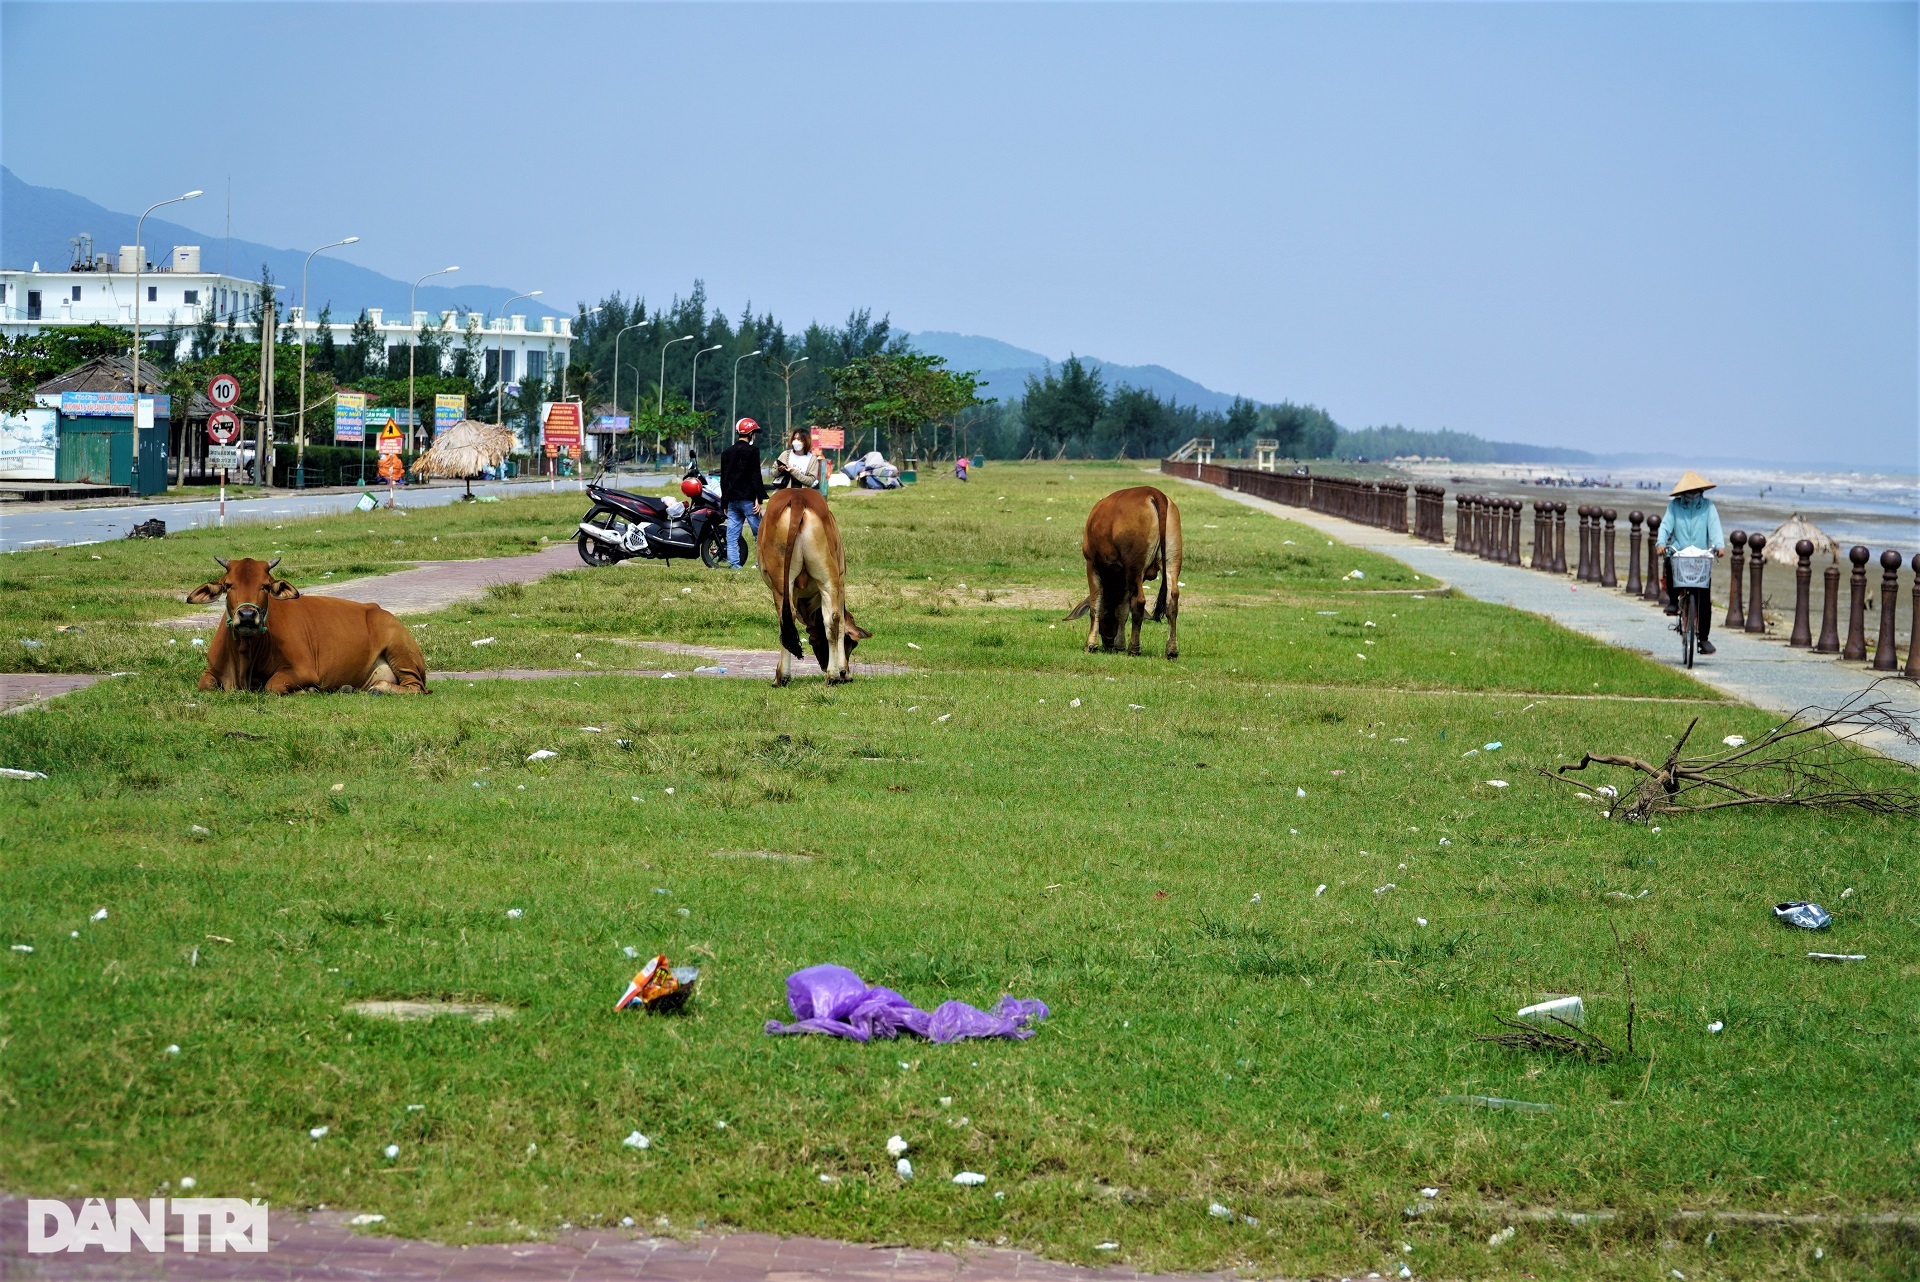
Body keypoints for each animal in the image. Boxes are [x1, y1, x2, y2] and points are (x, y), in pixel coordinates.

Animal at [185, 556, 430, 694]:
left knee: (416, 688)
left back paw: (379, 688)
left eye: (265, 586)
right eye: (228, 585)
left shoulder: (302, 670)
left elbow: (273, 686)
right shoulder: (211, 671)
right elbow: (205, 685)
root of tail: (379, 610)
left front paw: (307, 690)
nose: (246, 615)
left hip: (400, 651)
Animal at [756, 487, 871, 687]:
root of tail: (798, 497)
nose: (846, 673)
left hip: (782, 583)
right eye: (853, 644)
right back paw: (832, 676)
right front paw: (843, 672)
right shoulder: (838, 582)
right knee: (832, 619)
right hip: (827, 577)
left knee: (786, 621)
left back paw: (783, 676)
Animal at [1067, 483, 1182, 660]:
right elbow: (1122, 610)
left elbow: (1096, 605)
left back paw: (1134, 648)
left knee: (1139, 602)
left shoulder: (1092, 564)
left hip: (1134, 565)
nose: (1108, 643)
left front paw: (1091, 644)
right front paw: (1119, 644)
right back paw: (1171, 650)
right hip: (1172, 560)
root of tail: (1154, 493)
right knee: (1172, 601)